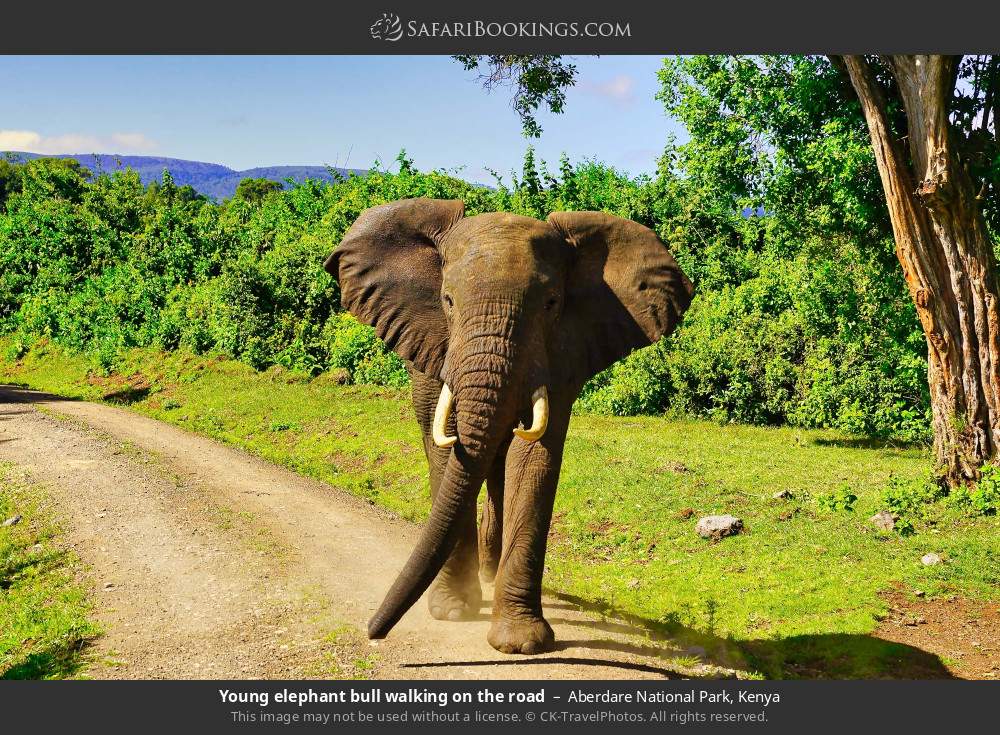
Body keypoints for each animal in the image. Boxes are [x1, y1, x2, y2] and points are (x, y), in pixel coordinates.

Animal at [324, 197, 692, 656]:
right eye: (447, 301)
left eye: (551, 303)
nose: (373, 631)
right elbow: (447, 445)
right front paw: (453, 612)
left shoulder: (564, 350)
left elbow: (534, 454)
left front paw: (519, 643)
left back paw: (489, 574)